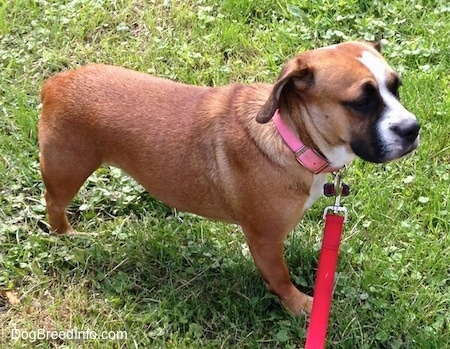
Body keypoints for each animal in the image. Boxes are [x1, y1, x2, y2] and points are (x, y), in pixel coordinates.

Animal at [37, 42, 418, 314]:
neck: (291, 136)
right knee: (53, 205)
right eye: (361, 102)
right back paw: (68, 236)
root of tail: (55, 83)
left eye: (396, 87)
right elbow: (279, 276)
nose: (412, 129)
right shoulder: (264, 239)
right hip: (66, 171)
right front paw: (299, 304)